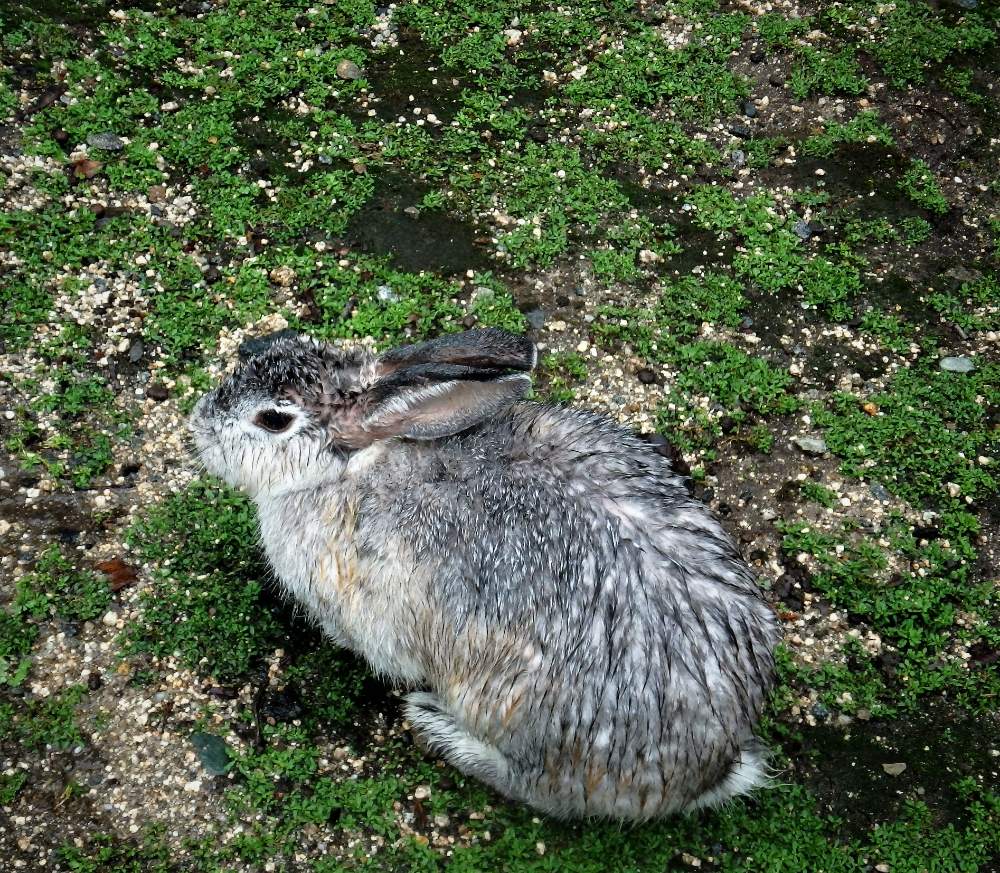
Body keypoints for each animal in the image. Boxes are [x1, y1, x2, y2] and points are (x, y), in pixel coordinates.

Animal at [189, 326, 780, 816]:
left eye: (273, 420)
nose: (198, 424)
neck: (351, 466)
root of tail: (710, 767)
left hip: (512, 708)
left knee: (536, 787)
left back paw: (436, 725)